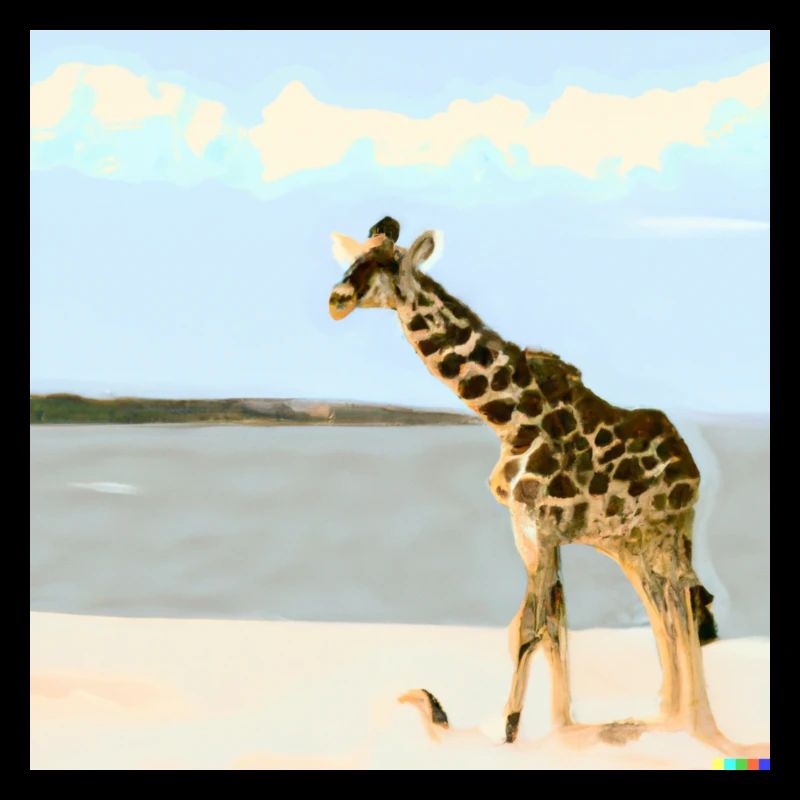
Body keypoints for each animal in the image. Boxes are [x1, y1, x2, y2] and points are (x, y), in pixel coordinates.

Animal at [327, 217, 767, 757]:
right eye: (354, 256)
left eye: (386, 264)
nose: (337, 299)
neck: (507, 417)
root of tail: (693, 466)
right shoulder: (532, 530)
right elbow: (553, 623)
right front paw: (559, 724)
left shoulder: (540, 527)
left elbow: (528, 627)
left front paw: (508, 729)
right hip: (630, 544)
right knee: (663, 609)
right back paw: (666, 714)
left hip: (665, 533)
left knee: (682, 603)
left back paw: (695, 724)